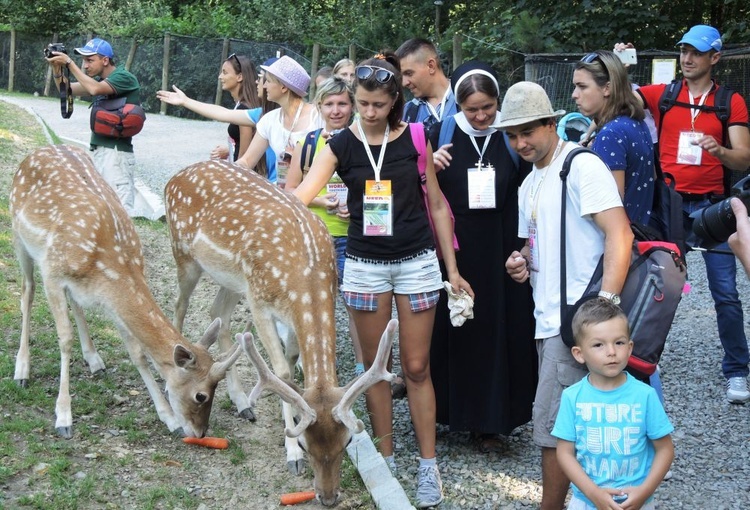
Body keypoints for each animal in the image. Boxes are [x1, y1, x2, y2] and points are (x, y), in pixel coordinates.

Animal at [10, 145, 242, 440]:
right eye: (201, 395)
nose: (200, 433)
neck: (111, 268)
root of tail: (42, 149)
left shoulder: (110, 299)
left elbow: (138, 353)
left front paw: (169, 418)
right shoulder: (52, 273)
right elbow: (64, 338)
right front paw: (63, 417)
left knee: (75, 301)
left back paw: (94, 358)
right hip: (19, 236)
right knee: (27, 291)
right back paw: (22, 370)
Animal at [166, 160, 400, 506]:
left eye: (346, 442)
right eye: (305, 443)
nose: (328, 497)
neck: (305, 277)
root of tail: (175, 176)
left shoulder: (287, 312)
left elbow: (291, 359)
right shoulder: (261, 304)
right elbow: (282, 373)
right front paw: (291, 456)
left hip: (234, 280)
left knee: (217, 313)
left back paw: (242, 402)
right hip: (185, 254)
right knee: (178, 309)